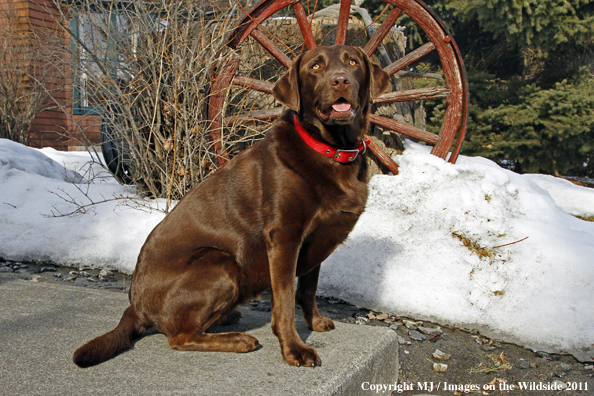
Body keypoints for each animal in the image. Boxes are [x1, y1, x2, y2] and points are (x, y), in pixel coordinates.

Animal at [73, 44, 388, 368]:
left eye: (353, 62)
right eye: (315, 67)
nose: (341, 80)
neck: (331, 150)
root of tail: (134, 306)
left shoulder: (318, 237)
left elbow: (308, 288)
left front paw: (315, 322)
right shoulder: (284, 236)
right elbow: (285, 300)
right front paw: (294, 349)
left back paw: (227, 318)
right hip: (220, 263)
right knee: (180, 337)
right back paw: (237, 339)